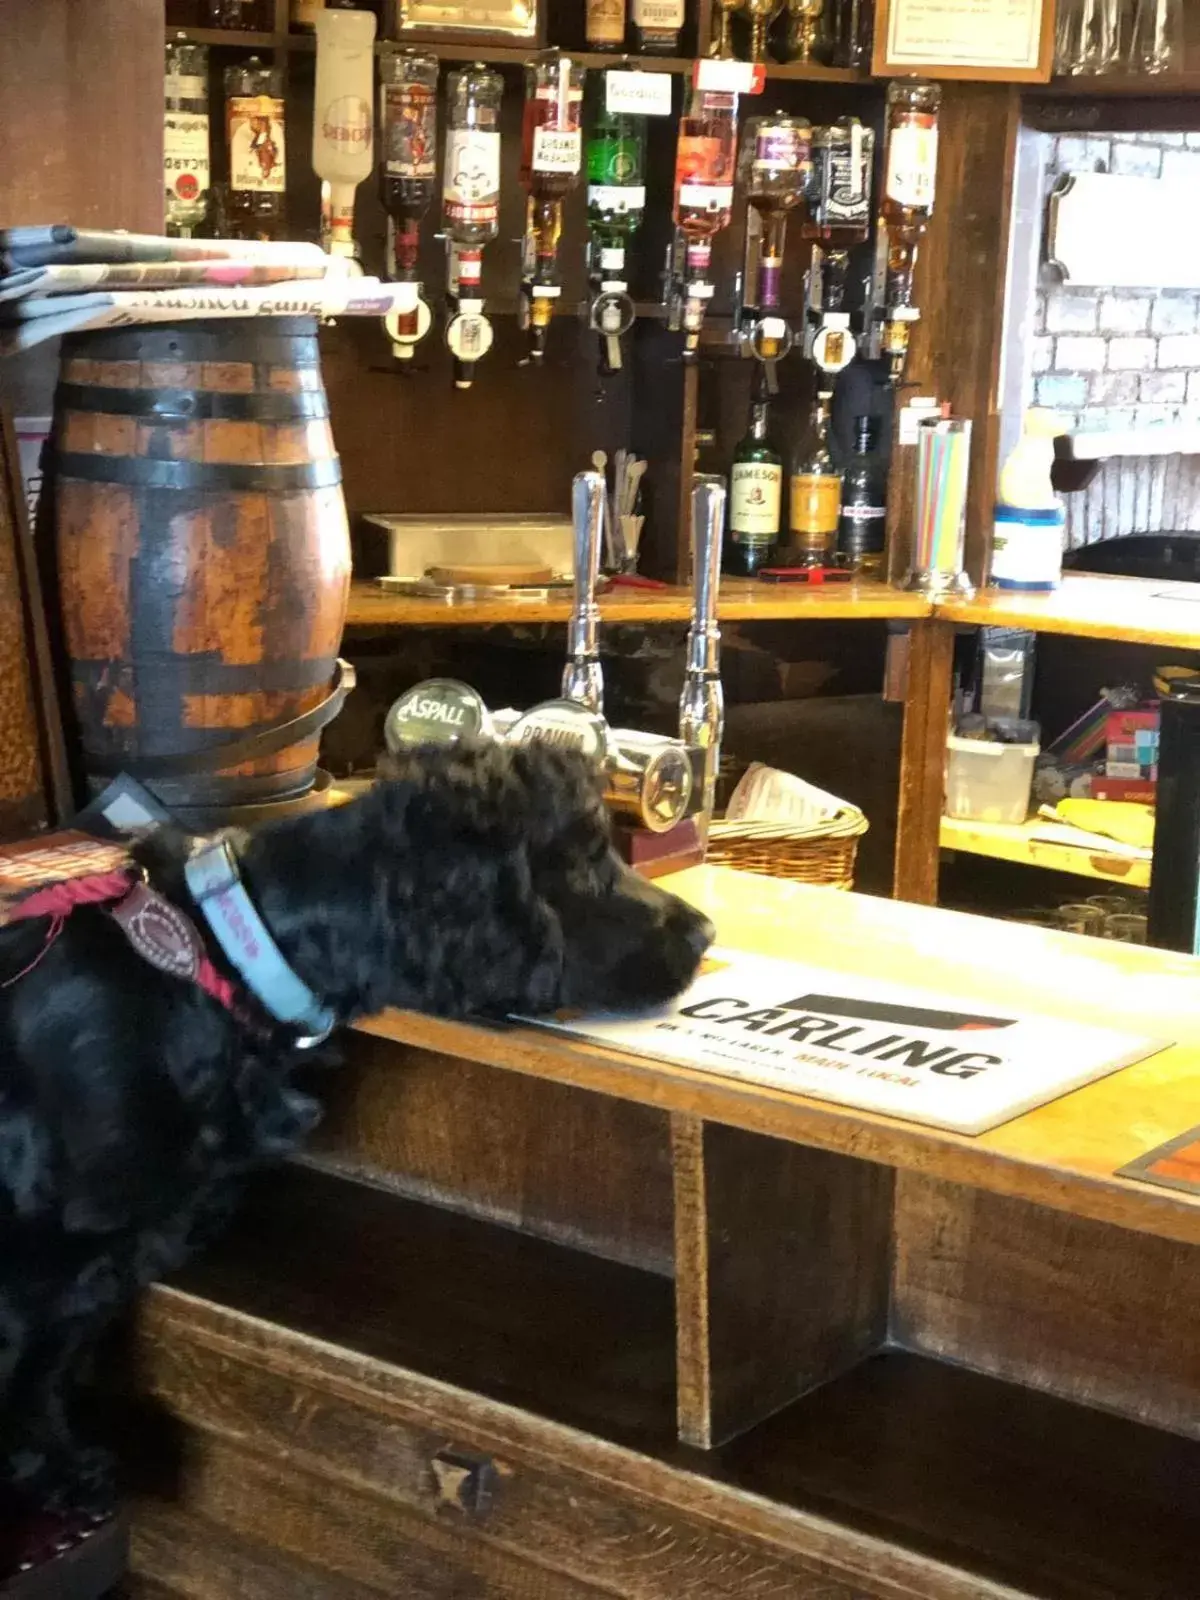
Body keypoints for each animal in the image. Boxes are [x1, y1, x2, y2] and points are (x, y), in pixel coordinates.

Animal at [0, 736, 713, 1510]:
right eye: (583, 856)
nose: (707, 931)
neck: (211, 964)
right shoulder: (47, 1258)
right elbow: (33, 1369)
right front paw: (54, 1471)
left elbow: (55, 1361)